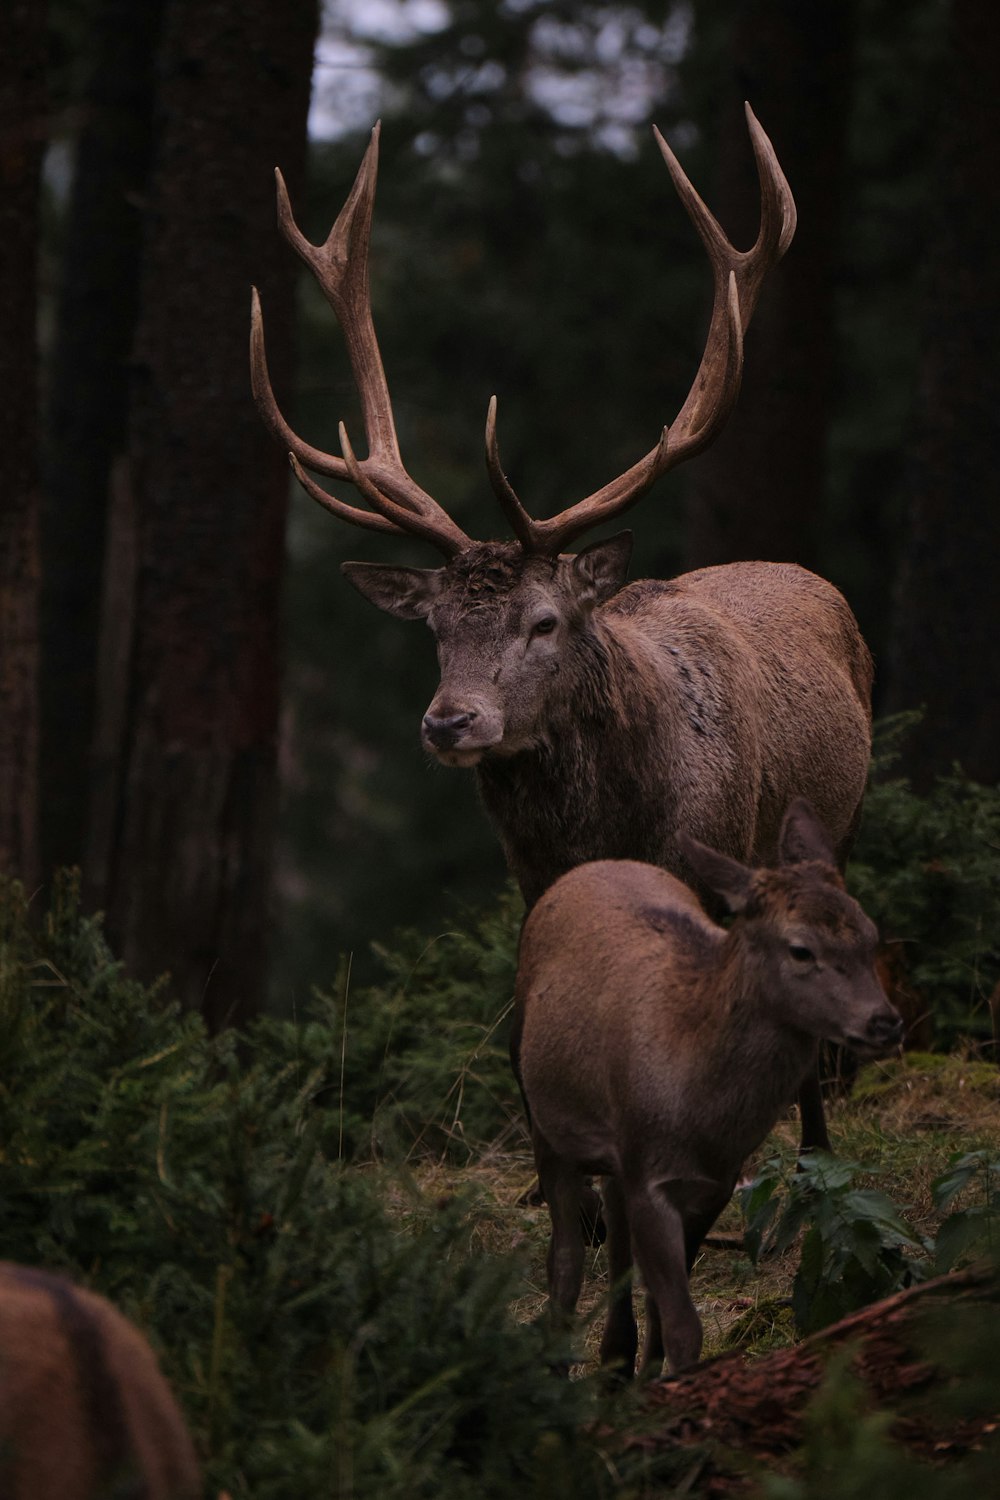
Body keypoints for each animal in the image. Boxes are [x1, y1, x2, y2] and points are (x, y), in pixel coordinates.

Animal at [515, 804, 905, 1374]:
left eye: (869, 935)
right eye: (800, 949)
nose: (884, 1022)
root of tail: (587, 868)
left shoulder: (716, 1180)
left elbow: (661, 1302)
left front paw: (650, 1375)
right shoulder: (649, 1170)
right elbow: (681, 1321)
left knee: (615, 1236)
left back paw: (615, 1363)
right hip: (544, 1117)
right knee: (564, 1258)